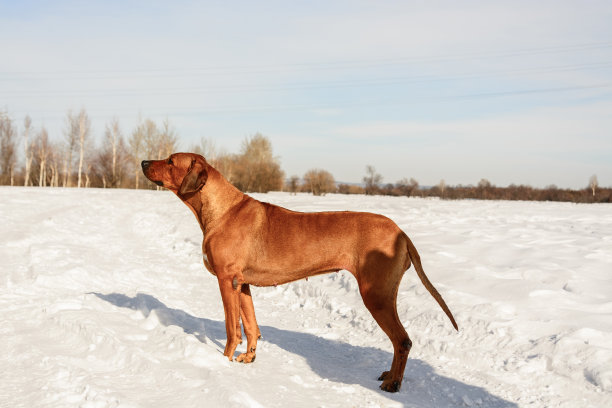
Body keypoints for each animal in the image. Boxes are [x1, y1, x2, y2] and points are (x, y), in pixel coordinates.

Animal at [141, 151, 456, 390]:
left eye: (170, 160)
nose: (143, 162)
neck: (222, 210)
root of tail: (401, 232)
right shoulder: (242, 284)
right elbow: (252, 327)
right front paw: (248, 358)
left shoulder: (226, 279)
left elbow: (232, 329)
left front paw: (225, 360)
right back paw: (390, 375)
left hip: (376, 295)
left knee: (403, 340)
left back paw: (393, 383)